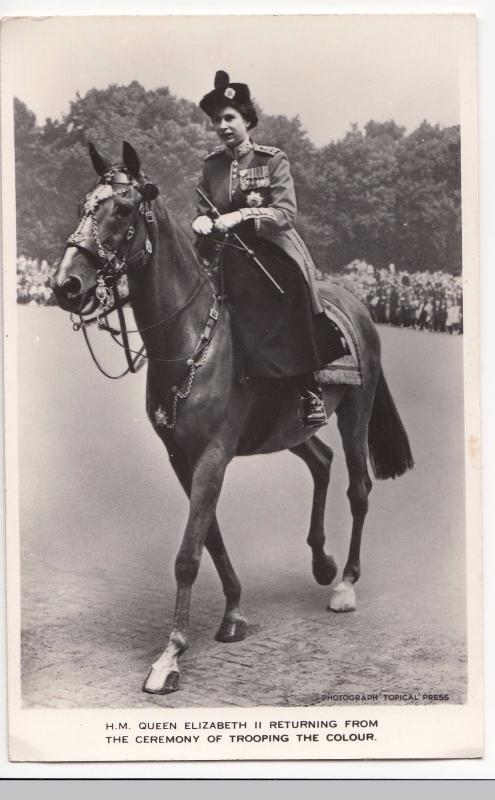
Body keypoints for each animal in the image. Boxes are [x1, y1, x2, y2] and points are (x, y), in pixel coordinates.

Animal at [52, 144, 412, 692]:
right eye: (82, 206)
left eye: (123, 210)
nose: (66, 285)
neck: (189, 337)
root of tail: (358, 304)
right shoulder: (184, 458)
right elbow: (211, 538)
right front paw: (234, 614)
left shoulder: (214, 455)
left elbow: (187, 554)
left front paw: (171, 655)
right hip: (292, 428)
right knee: (322, 462)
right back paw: (322, 562)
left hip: (357, 410)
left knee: (358, 488)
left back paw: (345, 583)